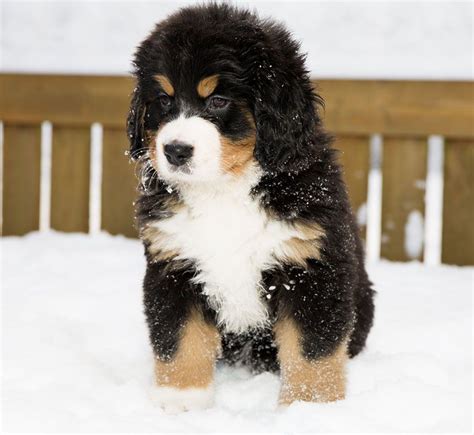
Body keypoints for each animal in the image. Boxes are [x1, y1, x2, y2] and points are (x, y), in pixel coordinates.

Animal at [126, 2, 374, 412]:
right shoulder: (174, 264)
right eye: (163, 100)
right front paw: (181, 399)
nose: (175, 150)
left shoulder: (311, 269)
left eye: (218, 100)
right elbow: (180, 339)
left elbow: (312, 351)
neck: (225, 189)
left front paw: (309, 405)